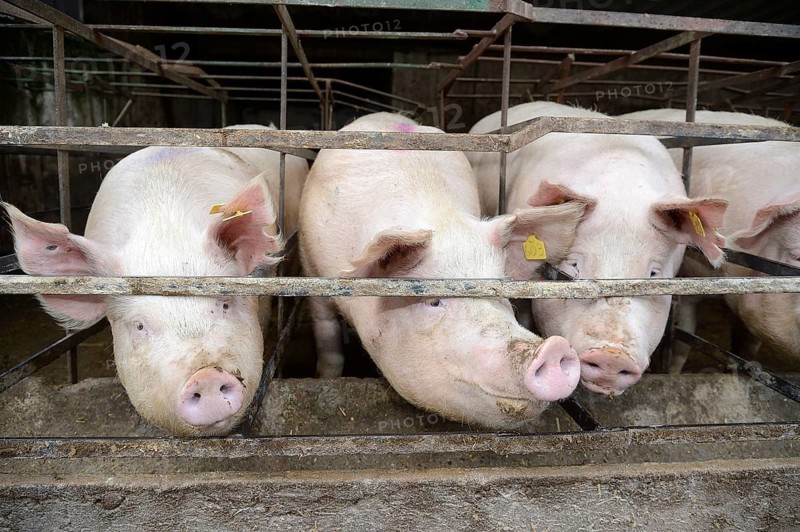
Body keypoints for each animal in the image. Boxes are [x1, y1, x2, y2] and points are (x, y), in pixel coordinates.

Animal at [299, 111, 586, 429]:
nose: (554, 348)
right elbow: (327, 339)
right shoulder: (311, 270)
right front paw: (325, 378)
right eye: (434, 300)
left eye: (500, 292)